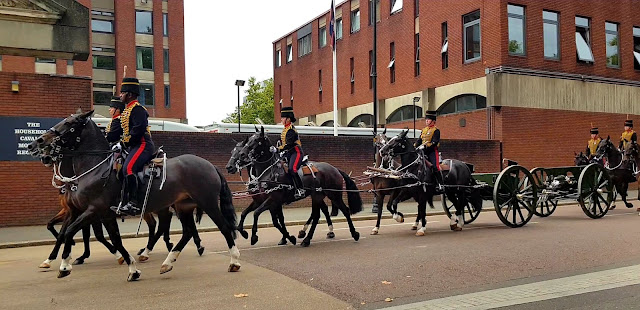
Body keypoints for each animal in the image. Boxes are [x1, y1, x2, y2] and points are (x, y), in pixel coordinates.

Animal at [28, 111, 240, 280]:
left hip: (207, 202)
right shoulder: (101, 214)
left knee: (223, 227)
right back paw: (167, 262)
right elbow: (114, 240)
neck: (95, 169)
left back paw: (234, 261)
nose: (38, 142)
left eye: (70, 124)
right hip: (183, 206)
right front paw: (132, 269)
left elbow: (70, 232)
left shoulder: (92, 211)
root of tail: (209, 164)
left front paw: (65, 265)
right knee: (186, 231)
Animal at [235, 126, 364, 247]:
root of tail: (334, 168)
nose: (241, 155)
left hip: (334, 195)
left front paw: (254, 237)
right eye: (248, 140)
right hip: (317, 195)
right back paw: (307, 237)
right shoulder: (261, 201)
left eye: (257, 140)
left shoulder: (273, 200)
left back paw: (353, 234)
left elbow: (258, 214)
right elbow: (245, 213)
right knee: (317, 214)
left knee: (344, 211)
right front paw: (243, 232)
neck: (268, 172)